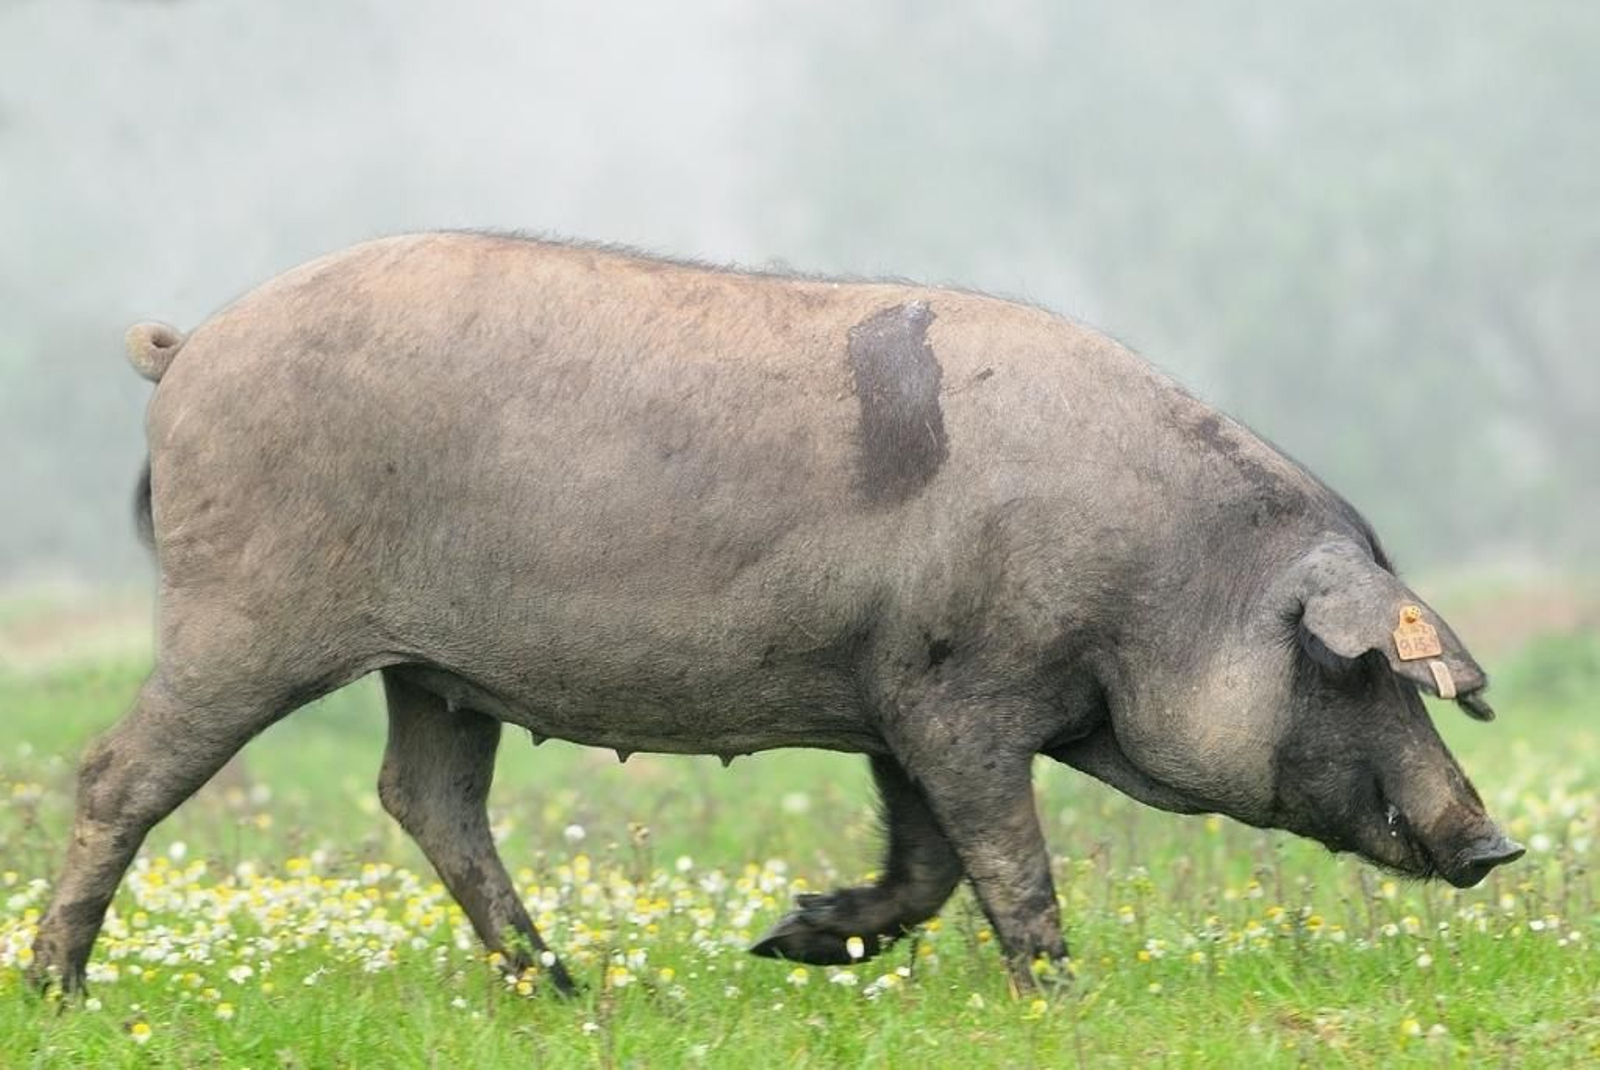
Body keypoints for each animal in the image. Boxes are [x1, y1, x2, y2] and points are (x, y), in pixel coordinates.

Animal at [32, 233, 1522, 996]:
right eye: (1352, 671)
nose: (1493, 839)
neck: (1157, 583)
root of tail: (187, 350)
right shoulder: (957, 690)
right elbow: (1004, 853)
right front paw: (1060, 990)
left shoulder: (896, 700)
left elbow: (925, 861)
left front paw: (787, 939)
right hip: (244, 613)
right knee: (114, 773)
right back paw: (60, 989)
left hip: (436, 665)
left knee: (427, 797)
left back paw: (564, 986)